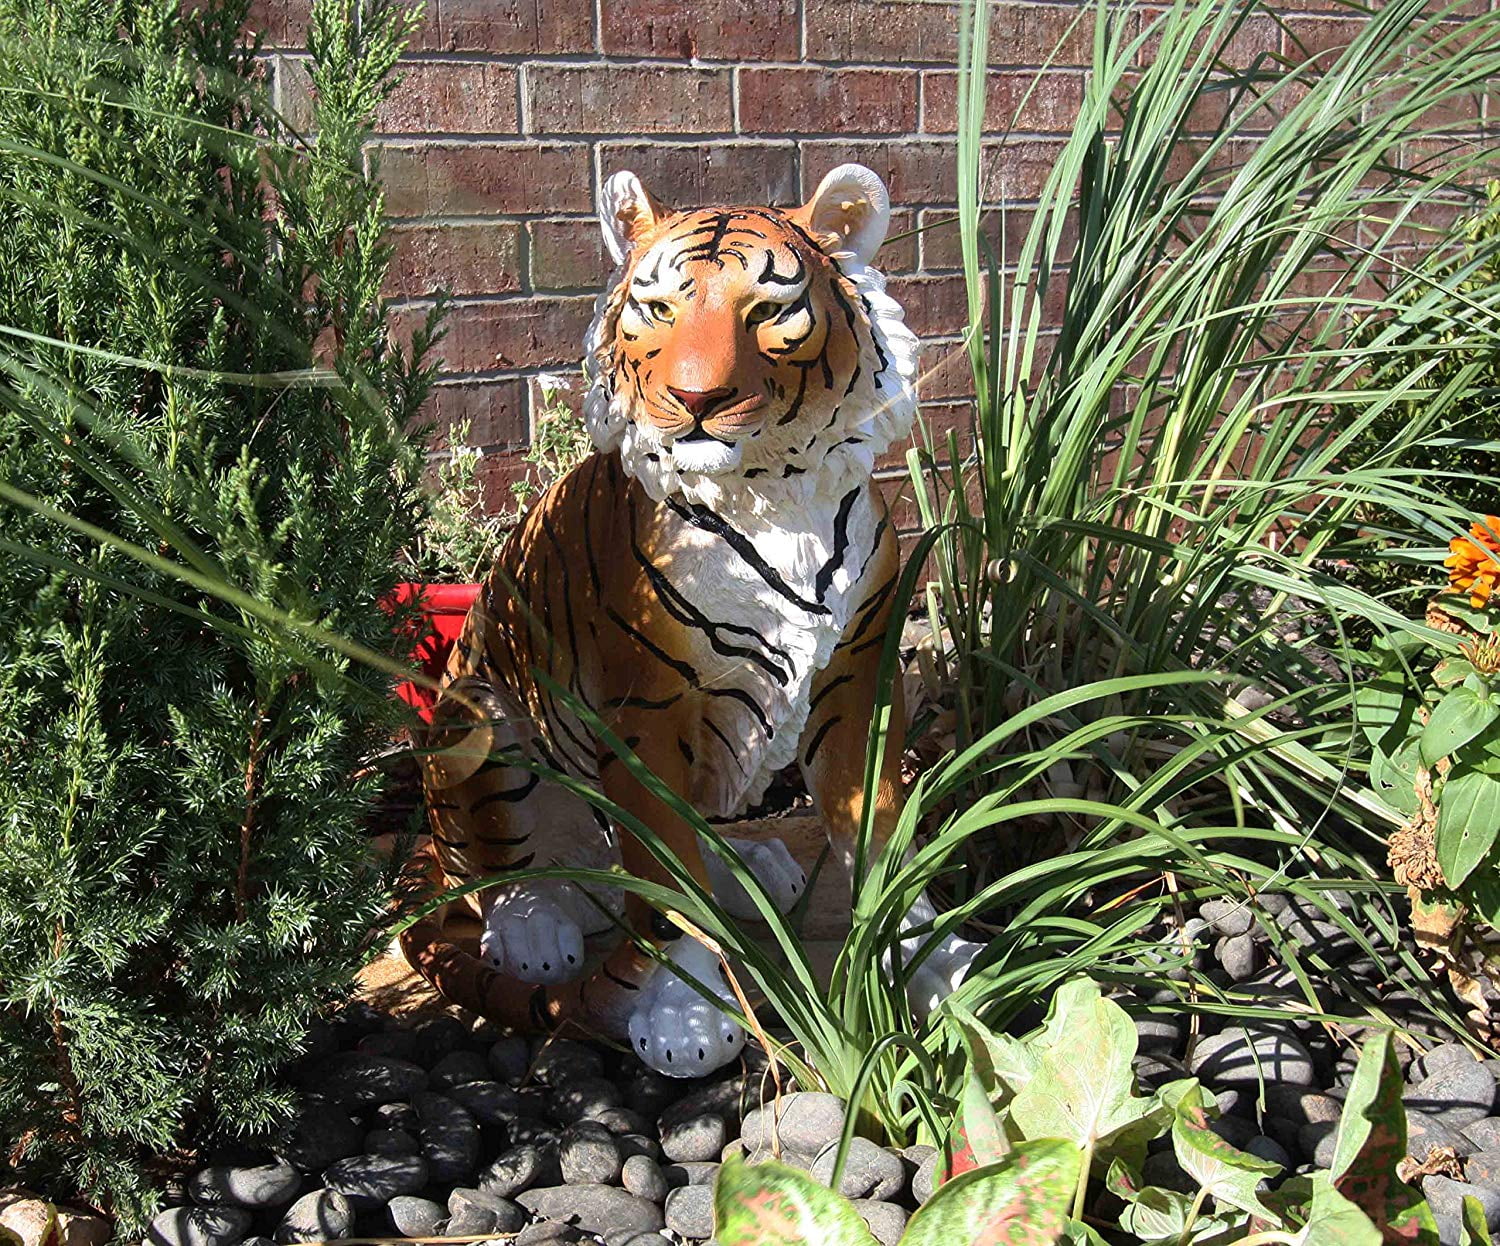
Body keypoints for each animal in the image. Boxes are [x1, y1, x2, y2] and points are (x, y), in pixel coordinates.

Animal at [402, 163, 982, 1078]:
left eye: (768, 311)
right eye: (658, 309)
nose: (694, 398)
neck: (772, 488)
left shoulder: (857, 681)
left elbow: (880, 829)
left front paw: (928, 954)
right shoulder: (649, 713)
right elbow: (672, 891)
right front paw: (685, 1014)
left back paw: (750, 864)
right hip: (480, 719)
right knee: (502, 869)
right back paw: (536, 928)